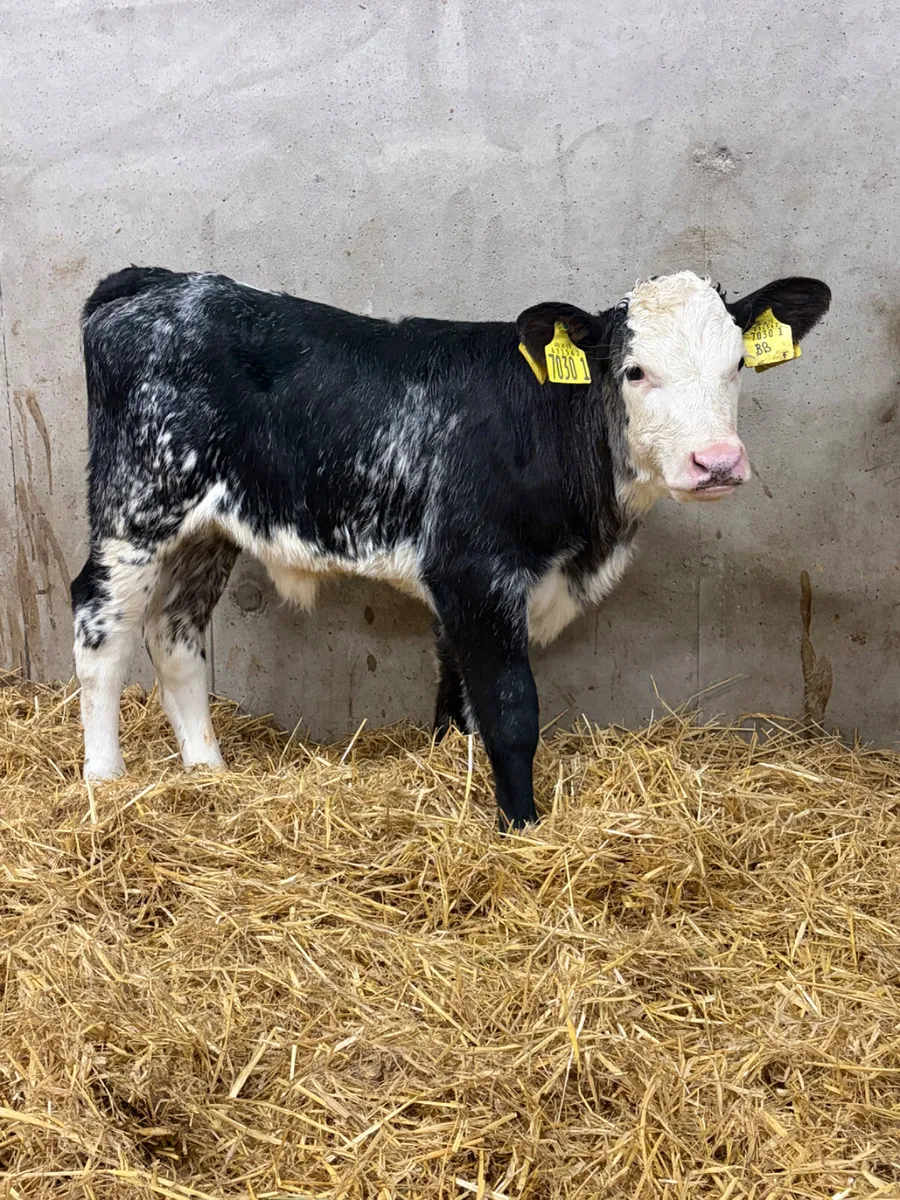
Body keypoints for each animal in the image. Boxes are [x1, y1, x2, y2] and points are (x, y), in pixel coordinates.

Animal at [71, 267, 830, 829]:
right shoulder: (475, 572)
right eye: (635, 371)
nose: (717, 462)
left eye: (739, 363)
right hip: (135, 506)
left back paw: (207, 772)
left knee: (175, 633)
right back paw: (104, 782)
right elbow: (510, 707)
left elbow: (459, 701)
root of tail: (155, 281)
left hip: (207, 528)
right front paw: (521, 826)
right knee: (101, 625)